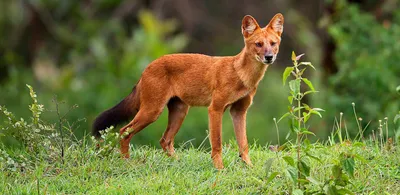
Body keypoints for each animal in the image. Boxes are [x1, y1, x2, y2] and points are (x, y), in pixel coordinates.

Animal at [92, 13, 282, 169]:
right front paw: (220, 169)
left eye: (273, 44)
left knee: (165, 140)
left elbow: (244, 143)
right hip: (152, 111)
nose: (269, 57)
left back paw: (177, 162)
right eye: (258, 44)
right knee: (124, 131)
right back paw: (127, 162)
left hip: (180, 111)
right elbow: (217, 143)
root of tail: (147, 67)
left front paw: (249, 167)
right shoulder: (215, 108)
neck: (242, 75)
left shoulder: (239, 111)